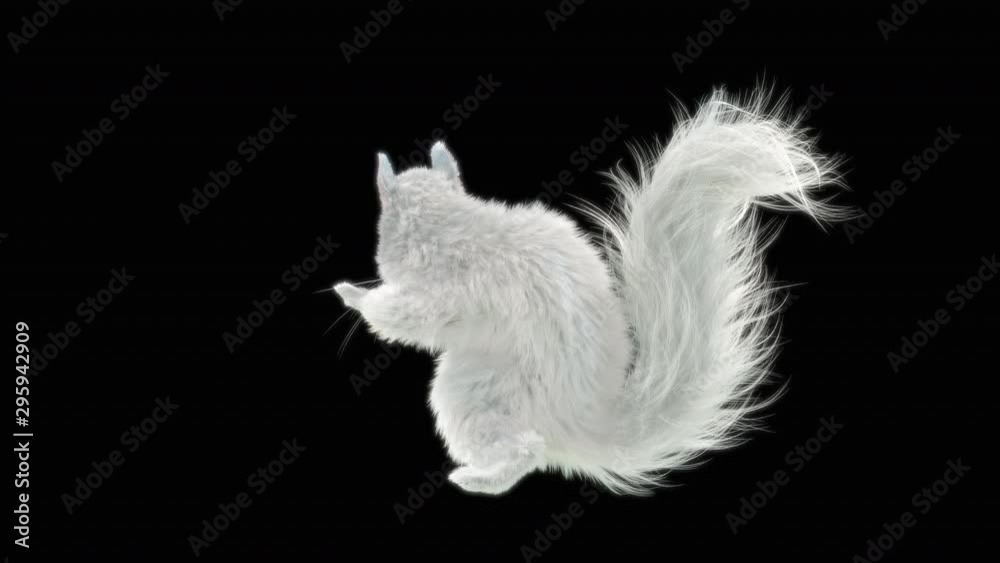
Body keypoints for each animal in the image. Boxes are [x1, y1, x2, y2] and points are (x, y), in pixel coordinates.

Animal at [334, 86, 846, 496]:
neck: (455, 226)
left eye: (384, 221)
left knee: (527, 450)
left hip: (472, 395)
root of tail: (582, 426)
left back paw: (477, 478)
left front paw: (351, 294)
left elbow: (405, 318)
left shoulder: (446, 291)